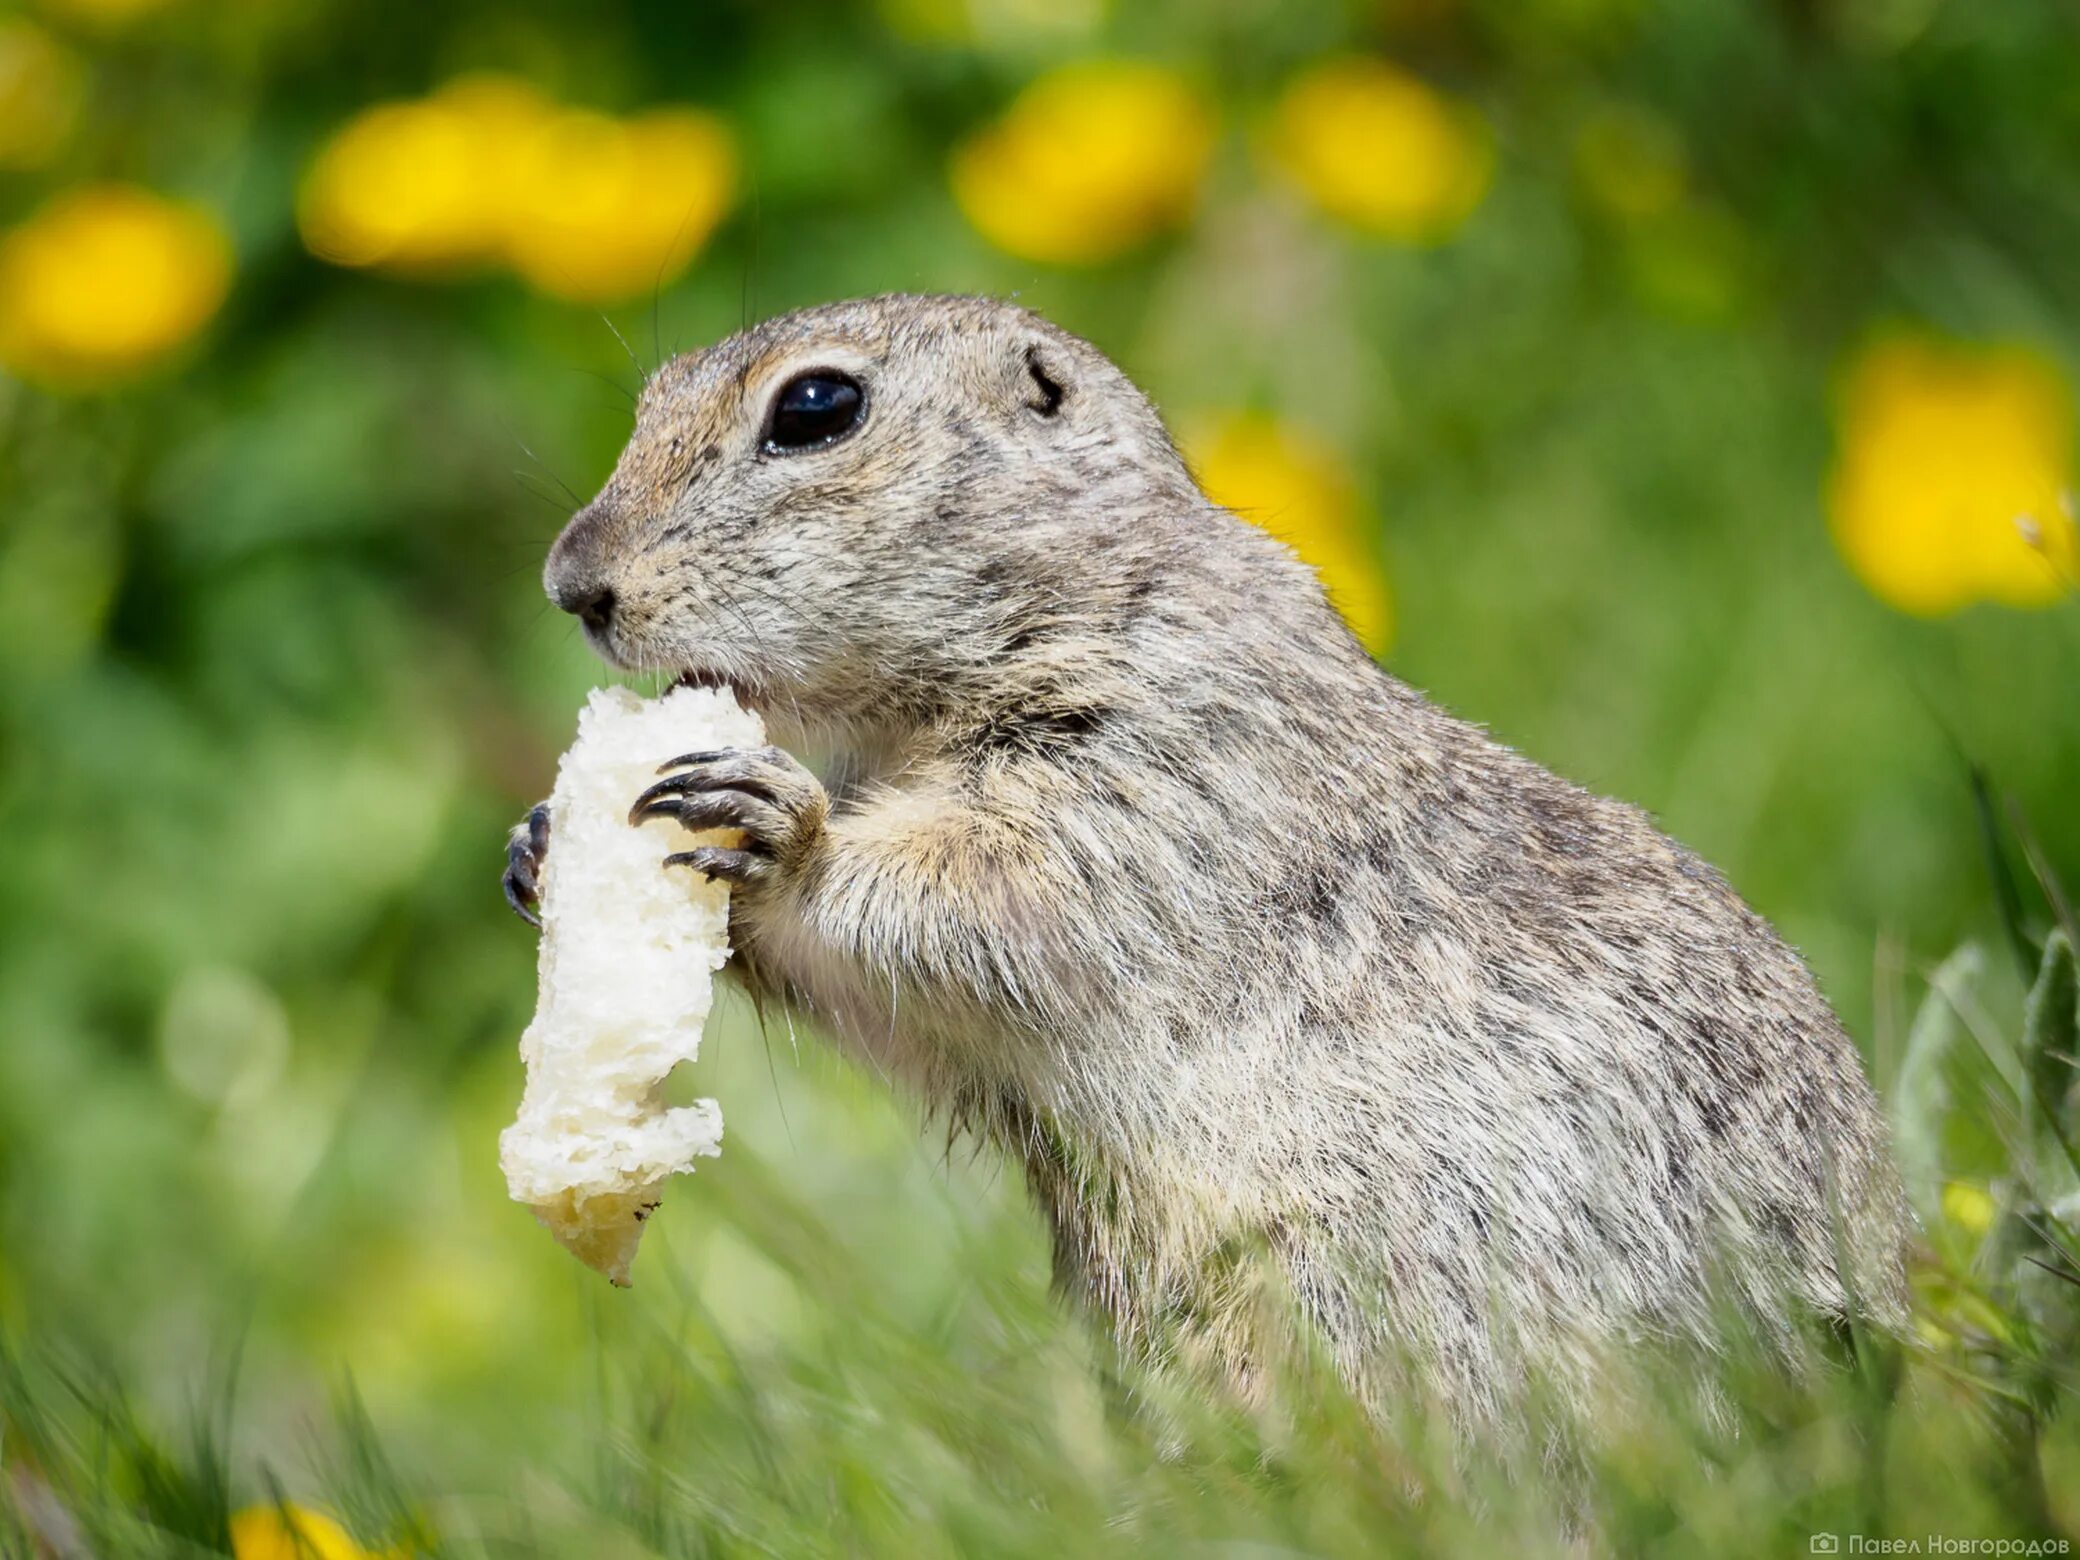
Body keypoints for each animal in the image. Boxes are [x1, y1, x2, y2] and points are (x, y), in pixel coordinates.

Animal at [503, 291, 1913, 1431]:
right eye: (651, 394)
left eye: (815, 407)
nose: (570, 583)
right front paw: (538, 849)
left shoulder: (1160, 756)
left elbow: (991, 890)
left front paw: (772, 829)